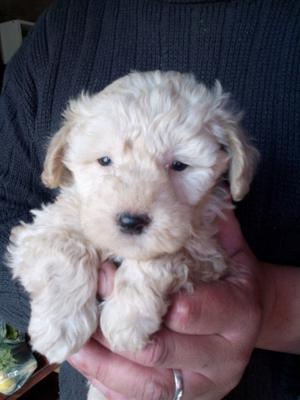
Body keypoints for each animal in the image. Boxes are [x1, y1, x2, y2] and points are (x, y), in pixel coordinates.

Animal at [5, 70, 256, 398]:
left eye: (179, 165)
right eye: (104, 161)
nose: (131, 221)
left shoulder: (209, 255)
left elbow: (165, 256)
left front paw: (127, 317)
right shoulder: (37, 231)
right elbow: (66, 250)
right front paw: (60, 326)